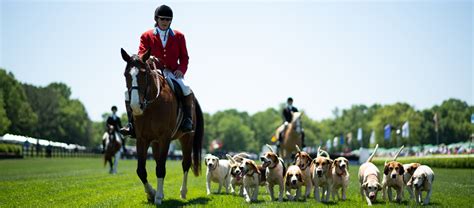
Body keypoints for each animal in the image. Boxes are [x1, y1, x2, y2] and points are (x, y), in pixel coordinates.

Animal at [120, 48, 204, 205]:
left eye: (144, 73)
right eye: (126, 74)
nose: (135, 106)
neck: (151, 105)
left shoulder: (165, 138)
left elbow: (160, 169)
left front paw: (158, 197)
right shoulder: (142, 139)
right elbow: (141, 170)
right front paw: (151, 193)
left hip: (187, 138)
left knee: (185, 164)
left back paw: (183, 192)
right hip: (155, 142)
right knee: (158, 160)